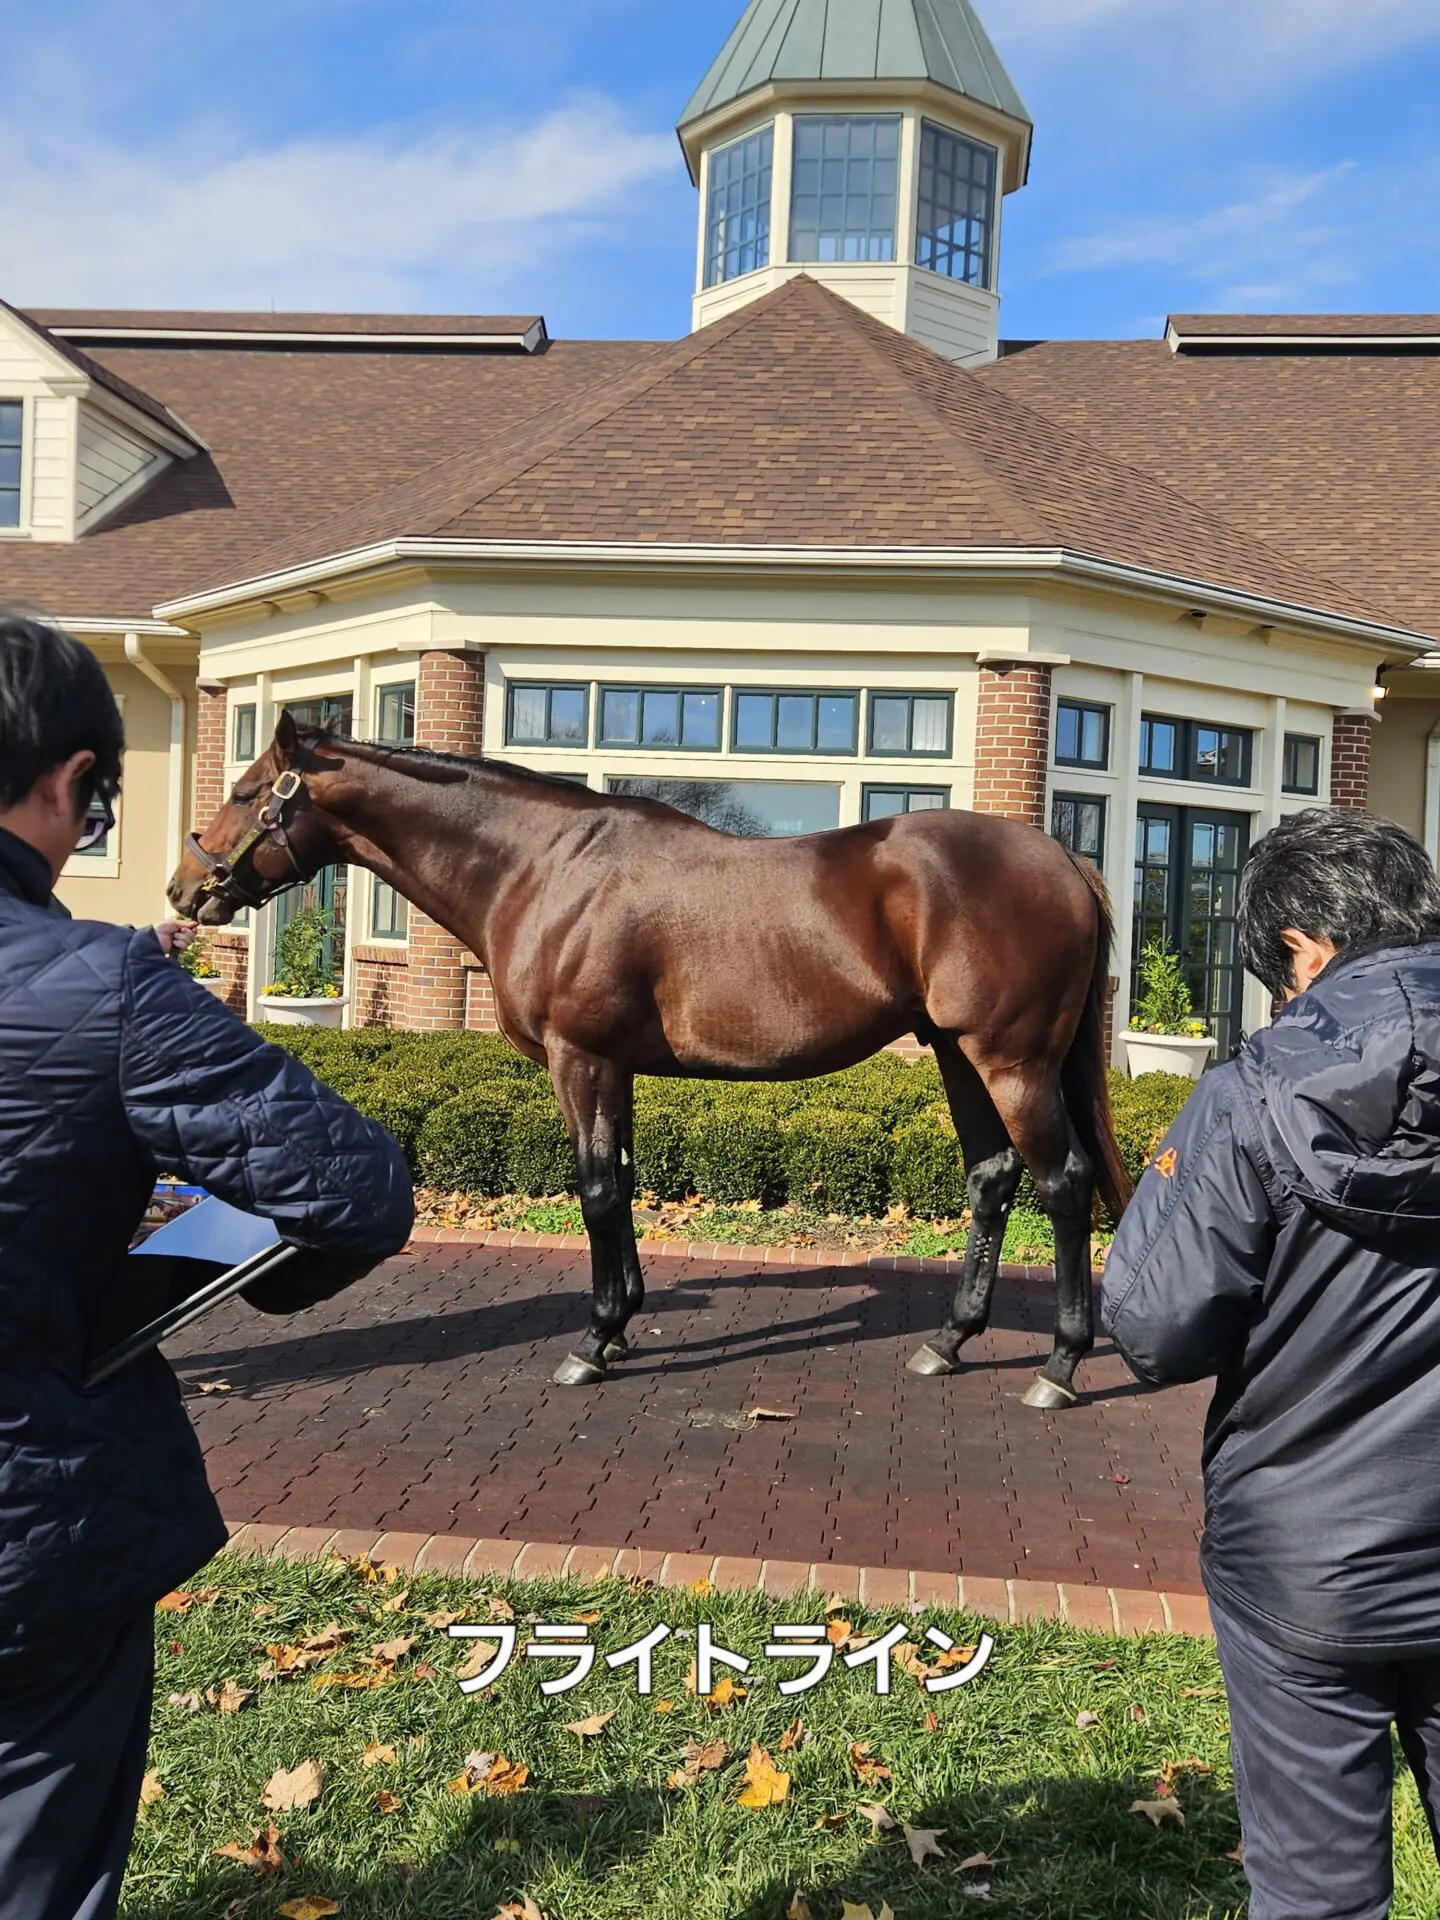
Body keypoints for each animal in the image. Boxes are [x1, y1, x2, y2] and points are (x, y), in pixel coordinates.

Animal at [168, 713, 1132, 1406]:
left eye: (249, 790)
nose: (185, 891)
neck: (541, 868)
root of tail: (1062, 858)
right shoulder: (614, 1067)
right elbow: (623, 1182)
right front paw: (624, 1320)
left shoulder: (581, 1058)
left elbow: (595, 1189)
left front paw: (593, 1343)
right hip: (958, 1056)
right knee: (992, 1177)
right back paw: (949, 1341)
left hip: (1011, 1062)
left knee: (1064, 1184)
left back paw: (1059, 1367)